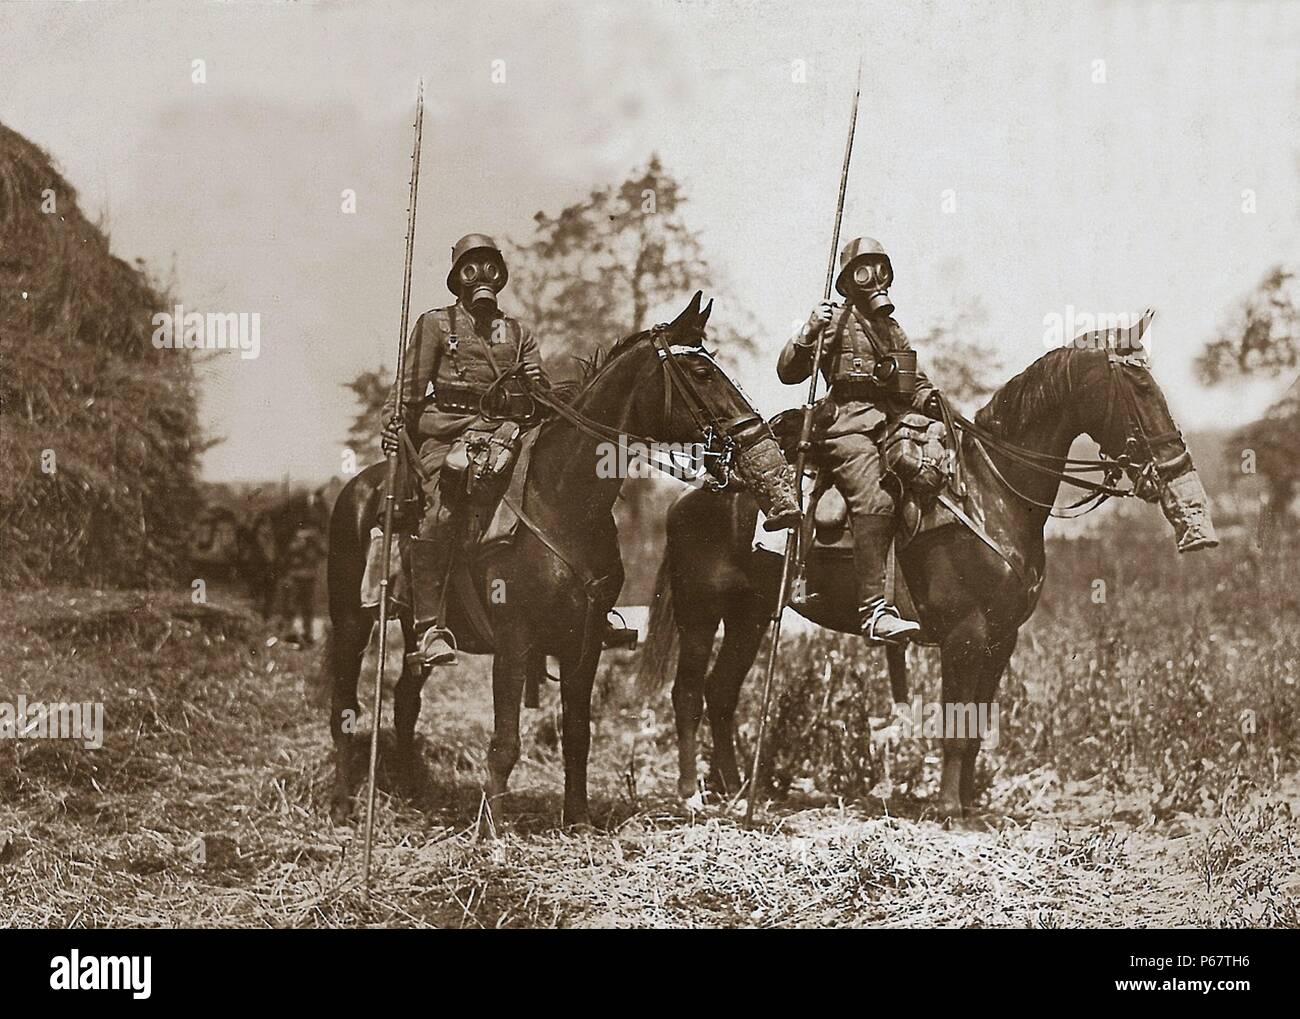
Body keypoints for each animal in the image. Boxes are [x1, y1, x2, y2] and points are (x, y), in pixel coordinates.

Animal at [323, 292, 790, 826]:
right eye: (702, 371)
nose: (758, 439)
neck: (563, 501)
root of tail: (359, 487)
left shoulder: (582, 644)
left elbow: (577, 732)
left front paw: (578, 819)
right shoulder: (513, 641)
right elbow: (505, 742)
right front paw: (492, 830)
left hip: (413, 632)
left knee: (405, 699)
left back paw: (413, 791)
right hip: (351, 622)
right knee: (345, 709)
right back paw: (342, 802)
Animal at [639, 345, 1216, 816]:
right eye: (1139, 388)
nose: (1175, 463)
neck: (989, 495)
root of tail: (692, 496)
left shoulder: (1001, 640)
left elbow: (977, 728)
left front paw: (969, 806)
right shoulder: (965, 636)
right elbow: (956, 729)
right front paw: (948, 810)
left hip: (751, 615)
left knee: (720, 694)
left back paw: (735, 789)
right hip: (700, 614)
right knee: (688, 695)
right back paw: (692, 795)